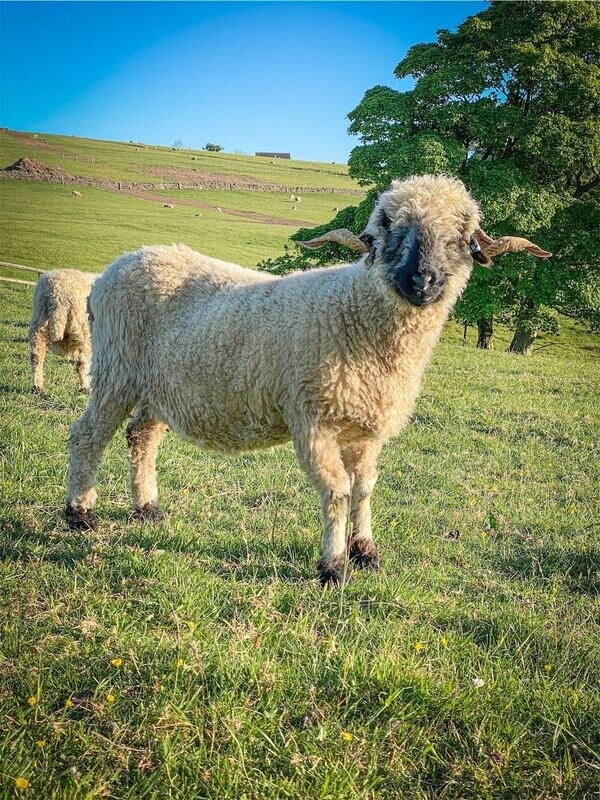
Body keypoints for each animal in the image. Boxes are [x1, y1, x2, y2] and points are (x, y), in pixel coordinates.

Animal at [65, 175, 550, 585]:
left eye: (459, 236)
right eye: (390, 227)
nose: (422, 280)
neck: (356, 314)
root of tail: (114, 269)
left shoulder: (366, 429)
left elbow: (364, 488)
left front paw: (365, 551)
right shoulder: (313, 420)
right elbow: (337, 492)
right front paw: (333, 566)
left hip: (159, 386)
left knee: (140, 436)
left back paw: (147, 508)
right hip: (116, 369)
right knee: (87, 435)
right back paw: (79, 514)